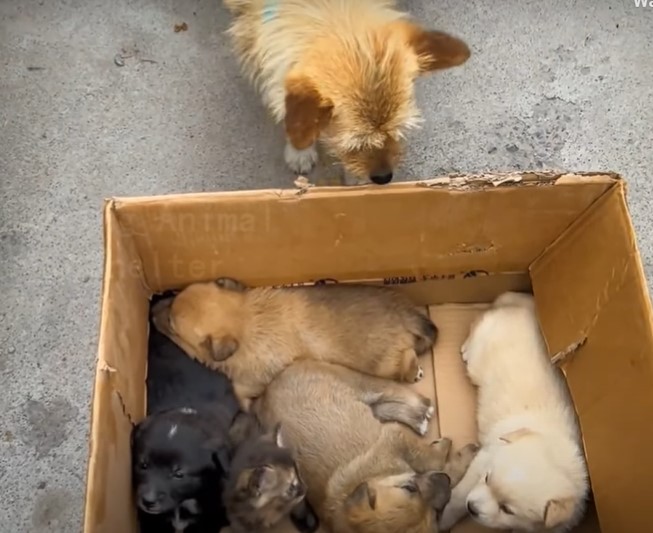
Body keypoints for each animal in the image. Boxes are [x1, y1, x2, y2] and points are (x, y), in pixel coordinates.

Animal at [152, 278, 438, 412]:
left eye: (172, 324)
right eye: (174, 297)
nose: (152, 308)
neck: (245, 319)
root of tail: (404, 313)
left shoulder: (249, 382)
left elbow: (239, 393)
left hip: (384, 363)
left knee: (407, 358)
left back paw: (414, 371)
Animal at [252, 358, 476, 532]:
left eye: (409, 488)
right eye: (435, 515)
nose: (443, 481)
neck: (371, 476)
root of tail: (266, 391)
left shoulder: (395, 436)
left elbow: (433, 460)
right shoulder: (395, 437)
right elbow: (440, 464)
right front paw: (459, 454)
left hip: (361, 385)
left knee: (393, 391)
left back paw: (421, 408)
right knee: (384, 407)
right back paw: (418, 417)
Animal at [438, 294, 584, 532]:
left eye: (507, 509)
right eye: (487, 478)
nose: (472, 508)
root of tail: (517, 303)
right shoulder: (484, 458)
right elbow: (458, 496)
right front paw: (444, 518)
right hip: (482, 348)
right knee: (478, 323)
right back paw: (467, 347)